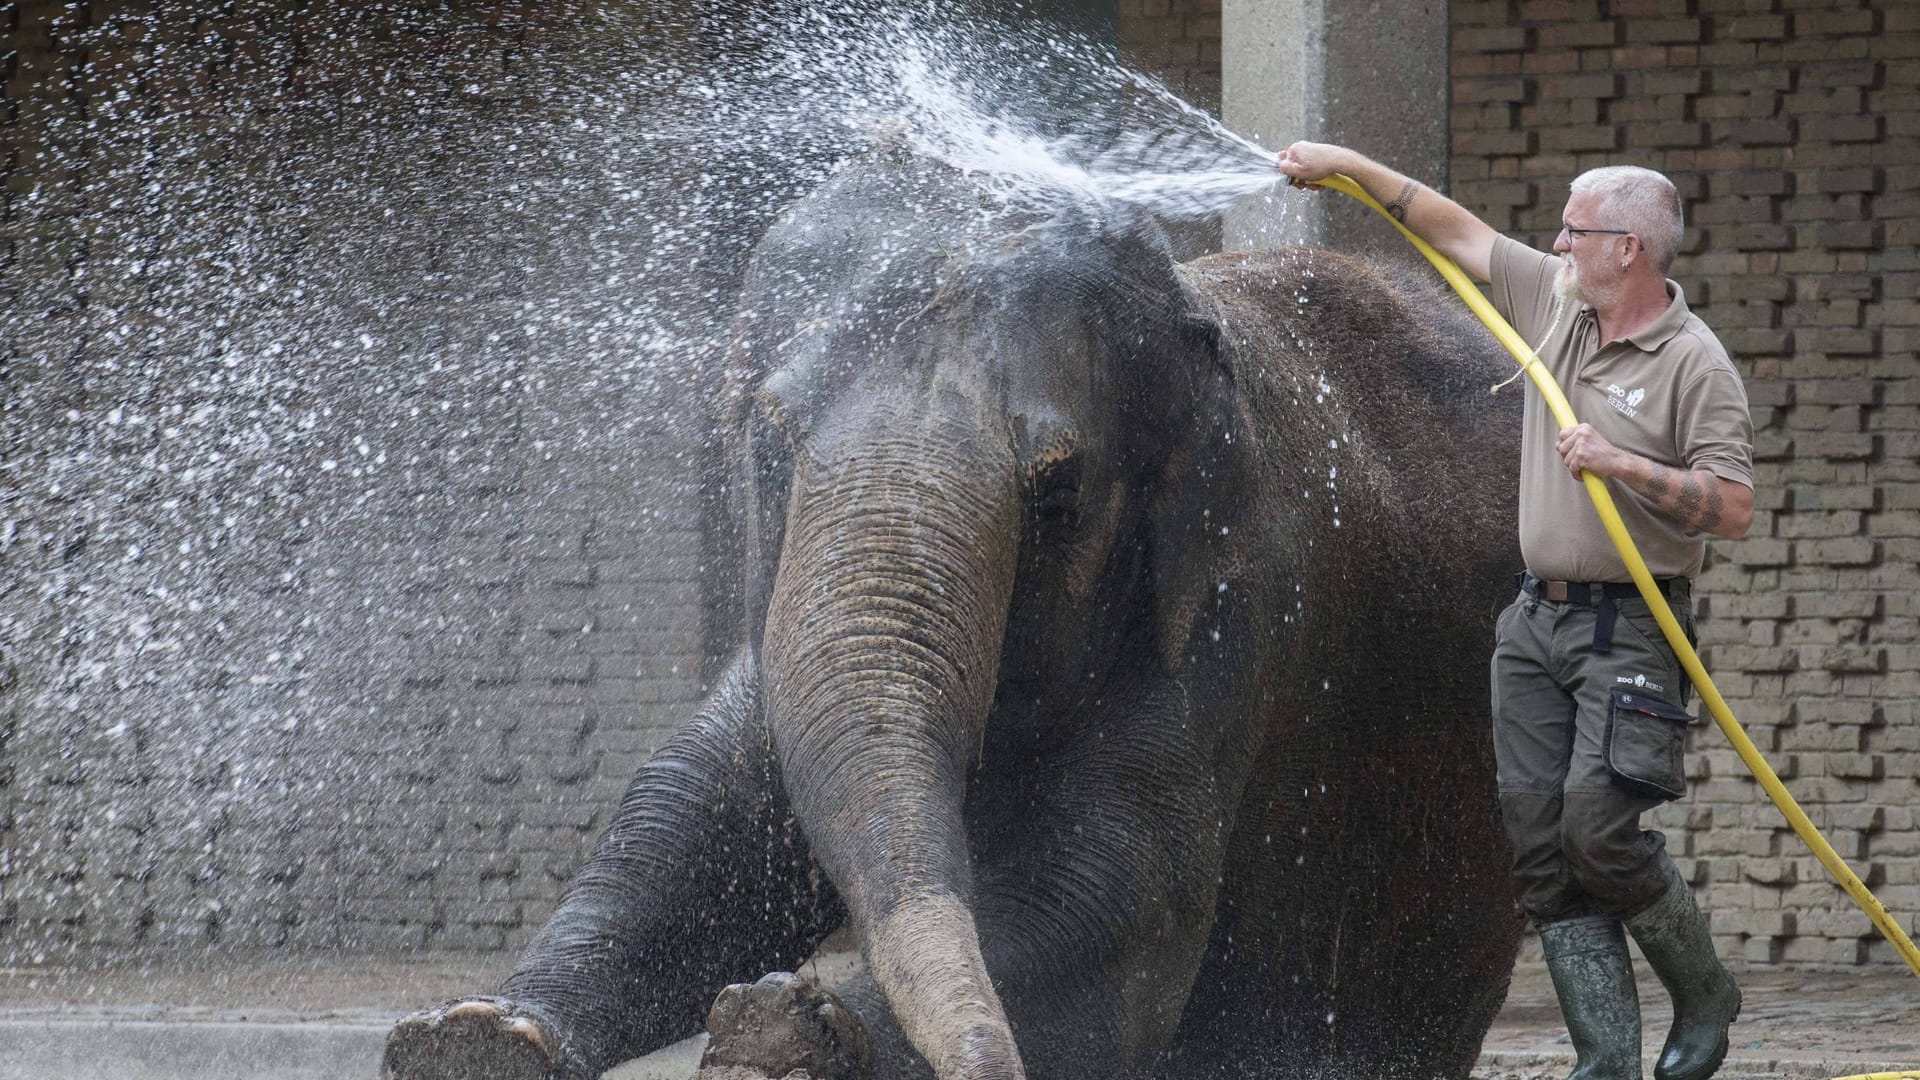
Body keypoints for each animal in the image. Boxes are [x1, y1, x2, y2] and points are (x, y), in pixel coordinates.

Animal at [385, 147, 1528, 1076]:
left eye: (1056, 495)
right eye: (769, 444)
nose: (798, 999)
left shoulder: (1230, 628)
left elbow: (1121, 911)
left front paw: (788, 1034)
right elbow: (686, 825)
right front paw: (475, 1039)